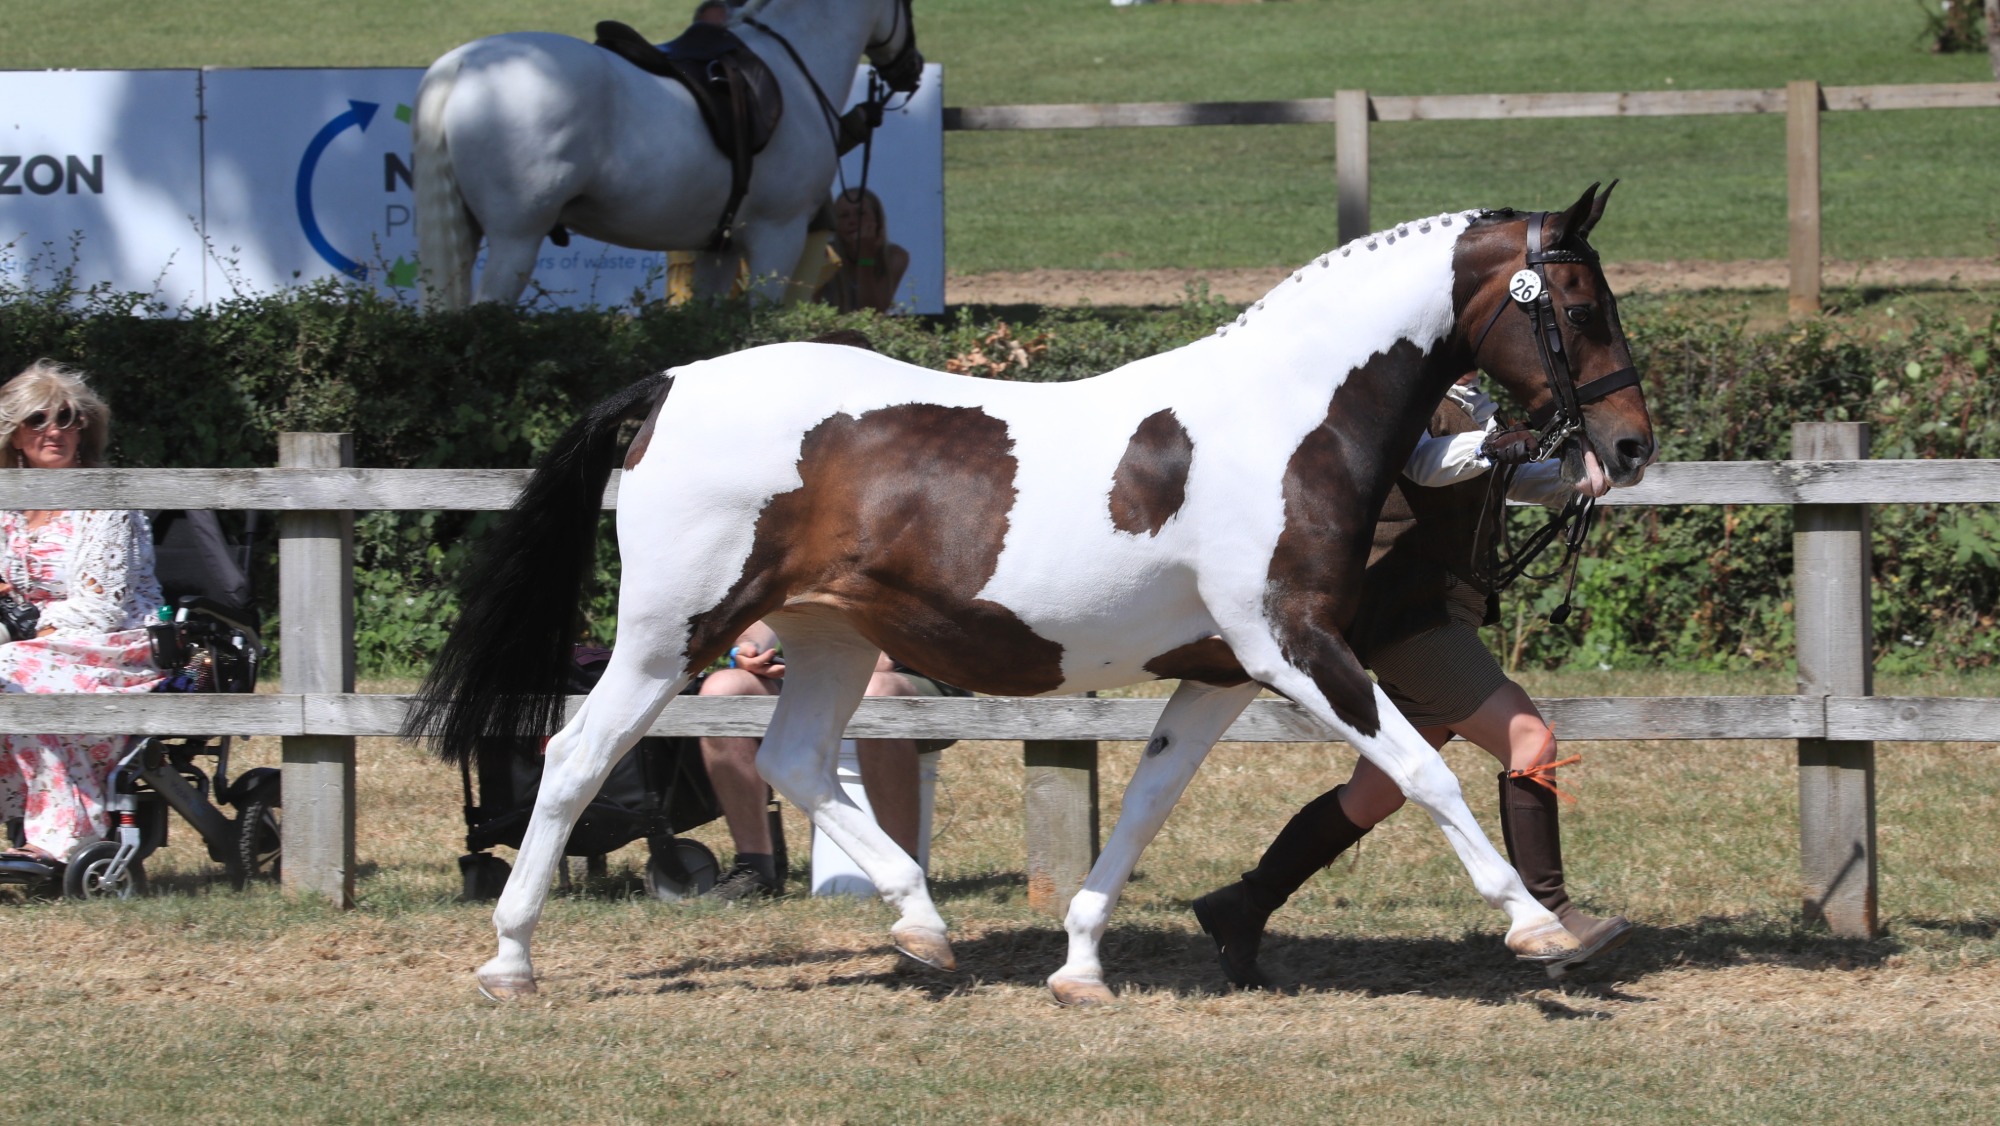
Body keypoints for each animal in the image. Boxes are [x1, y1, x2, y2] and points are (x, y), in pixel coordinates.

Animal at [407, 184, 1657, 1007]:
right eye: (1578, 306)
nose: (1627, 447)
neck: (1287, 418)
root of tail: (669, 381)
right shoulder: (1294, 647)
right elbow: (1424, 771)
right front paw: (1538, 928)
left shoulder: (1218, 673)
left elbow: (1146, 805)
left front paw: (1080, 962)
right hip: (672, 633)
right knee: (575, 755)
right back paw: (509, 957)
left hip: (825, 636)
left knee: (793, 760)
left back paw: (921, 929)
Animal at [412, 0, 919, 309]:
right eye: (908, 5)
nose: (912, 69)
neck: (794, 68)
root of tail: (462, 65)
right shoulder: (779, 236)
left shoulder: (720, 247)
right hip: (516, 238)